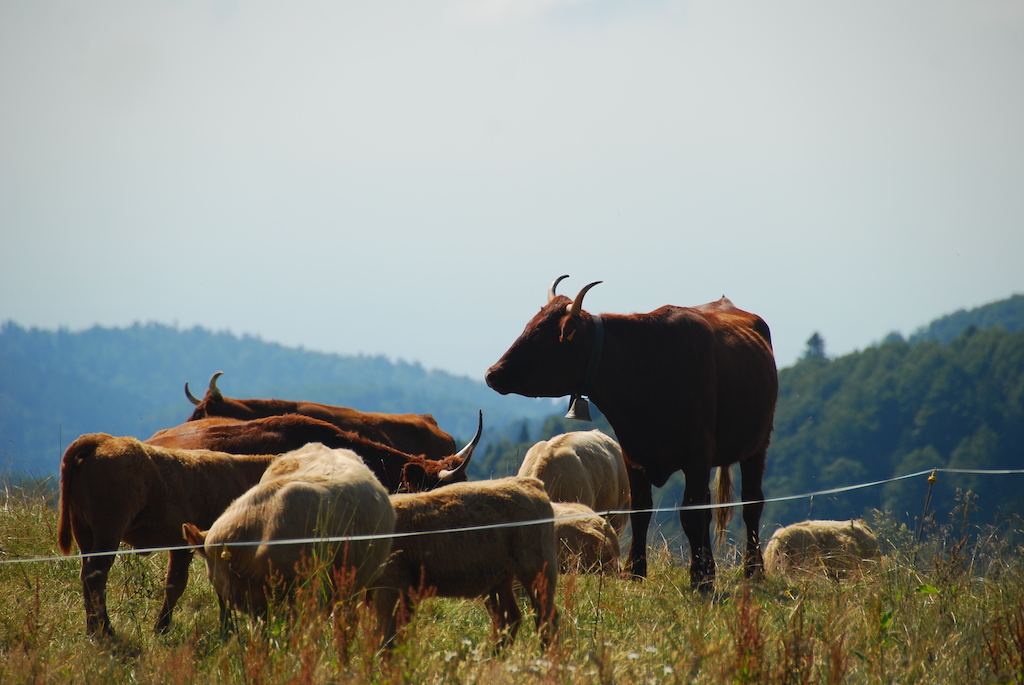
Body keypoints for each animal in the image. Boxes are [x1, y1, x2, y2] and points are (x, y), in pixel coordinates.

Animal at [58, 432, 278, 634]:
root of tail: (102, 439)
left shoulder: (183, 546)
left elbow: (177, 584)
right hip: (109, 530)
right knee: (96, 574)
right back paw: (104, 630)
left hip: (84, 531)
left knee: (87, 573)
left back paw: (92, 628)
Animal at [374, 475, 557, 651]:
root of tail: (530, 482)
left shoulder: (391, 588)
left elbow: (387, 638)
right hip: (499, 579)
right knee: (508, 618)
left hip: (536, 569)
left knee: (546, 616)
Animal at [485, 274, 774, 589]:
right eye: (528, 326)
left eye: (539, 335)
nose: (492, 373)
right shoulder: (632, 453)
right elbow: (641, 511)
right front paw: (635, 570)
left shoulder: (698, 454)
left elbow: (693, 515)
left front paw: (701, 577)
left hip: (758, 444)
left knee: (752, 503)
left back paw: (754, 570)